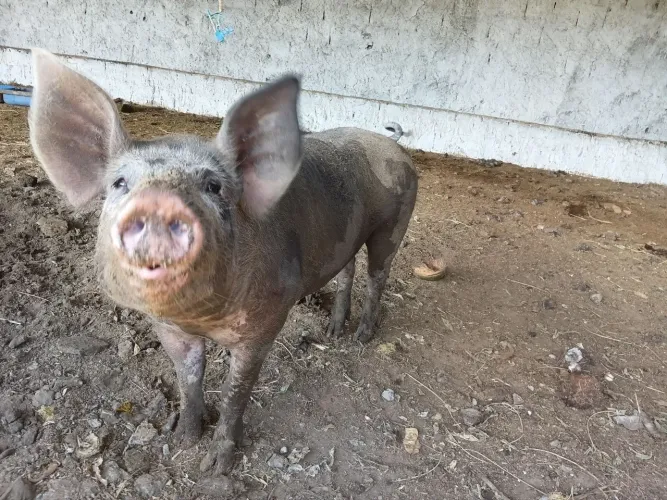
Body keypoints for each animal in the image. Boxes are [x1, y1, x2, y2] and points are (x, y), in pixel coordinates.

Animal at [28, 49, 418, 475]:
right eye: (119, 183)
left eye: (213, 186)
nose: (158, 203)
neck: (201, 317)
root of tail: (391, 143)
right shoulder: (169, 328)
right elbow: (188, 378)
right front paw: (182, 439)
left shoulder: (266, 320)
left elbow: (236, 391)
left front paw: (217, 465)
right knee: (348, 270)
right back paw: (333, 332)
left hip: (395, 221)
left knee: (378, 274)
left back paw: (362, 336)